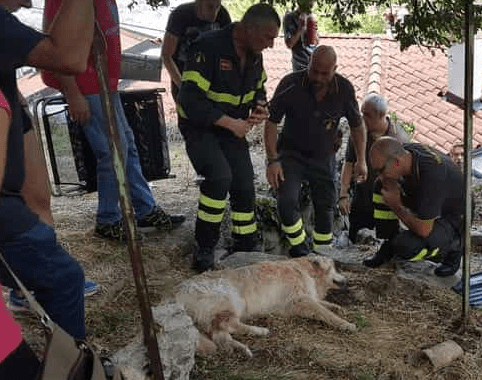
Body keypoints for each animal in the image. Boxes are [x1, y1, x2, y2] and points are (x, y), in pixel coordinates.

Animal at [175, 255, 356, 356]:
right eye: (334, 269)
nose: (347, 280)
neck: (303, 270)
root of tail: (176, 294)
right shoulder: (298, 300)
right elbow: (324, 312)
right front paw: (345, 324)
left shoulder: (303, 299)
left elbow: (324, 304)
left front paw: (336, 307)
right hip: (232, 300)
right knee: (228, 326)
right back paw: (259, 331)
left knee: (220, 335)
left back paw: (241, 348)